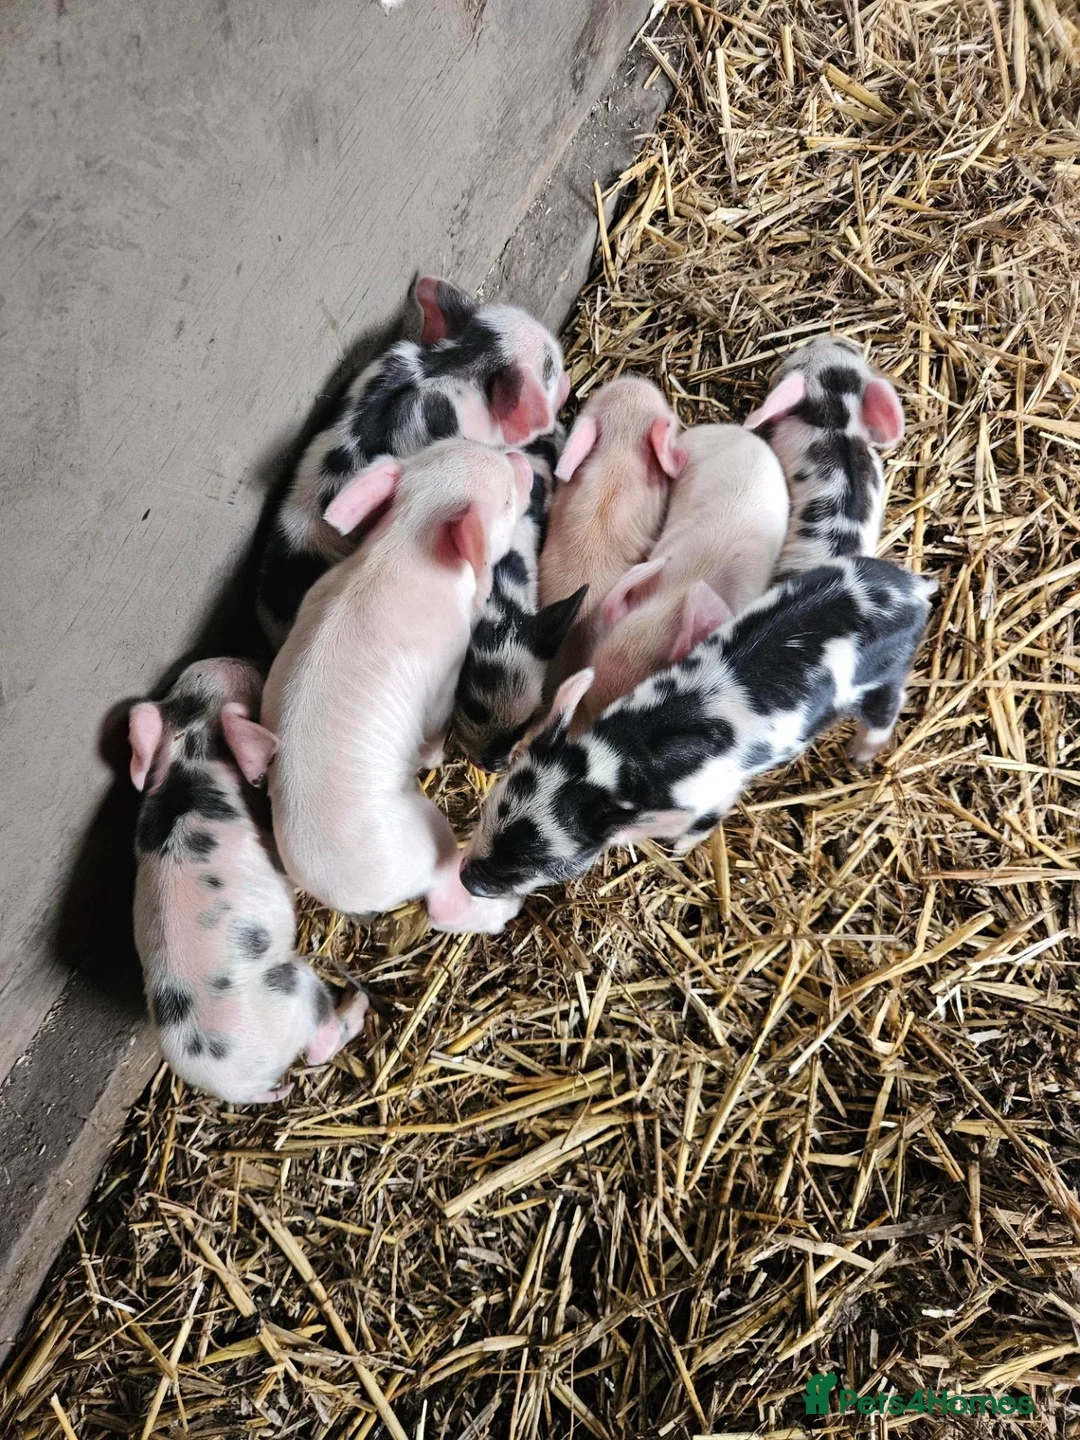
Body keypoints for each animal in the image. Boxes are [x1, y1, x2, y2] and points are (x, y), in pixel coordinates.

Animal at [129, 658, 368, 1105]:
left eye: (181, 687)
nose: (237, 659)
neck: (189, 749)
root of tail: (243, 1088)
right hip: (293, 985)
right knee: (320, 1046)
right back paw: (358, 1003)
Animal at [262, 439, 534, 933]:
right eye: (506, 501)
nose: (520, 459)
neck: (407, 541)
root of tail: (337, 892)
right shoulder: (445, 668)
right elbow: (434, 731)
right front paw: (435, 757)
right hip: (425, 837)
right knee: (443, 898)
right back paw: (507, 909)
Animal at [460, 556, 935, 900]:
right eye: (491, 810)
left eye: (540, 863)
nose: (467, 881)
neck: (613, 760)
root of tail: (914, 589)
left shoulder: (715, 791)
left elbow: (703, 821)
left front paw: (679, 849)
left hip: (885, 675)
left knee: (889, 708)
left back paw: (861, 757)